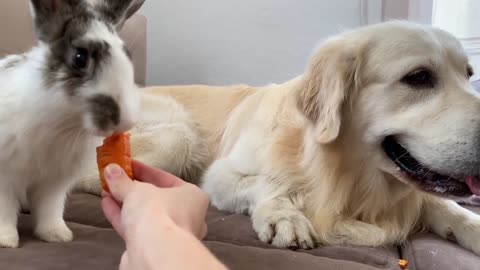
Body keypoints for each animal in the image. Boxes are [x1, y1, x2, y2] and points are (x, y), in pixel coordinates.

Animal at [0, 0, 144, 248]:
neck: (62, 123)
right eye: (80, 57)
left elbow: (50, 210)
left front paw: (57, 235)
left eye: (127, 54)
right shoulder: (5, 176)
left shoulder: (54, 184)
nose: (125, 121)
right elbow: (4, 209)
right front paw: (5, 240)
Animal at [76, 21, 480, 253]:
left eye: (468, 74)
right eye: (418, 77)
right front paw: (284, 216)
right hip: (179, 135)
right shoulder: (221, 175)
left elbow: (447, 206)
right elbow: (267, 184)